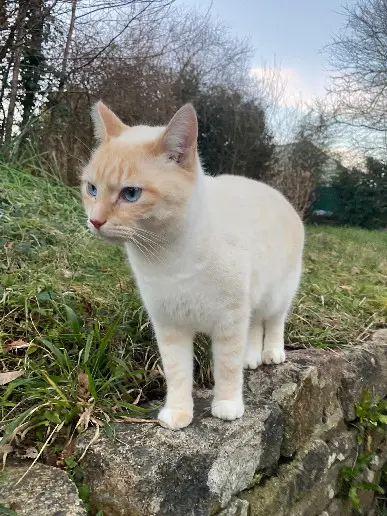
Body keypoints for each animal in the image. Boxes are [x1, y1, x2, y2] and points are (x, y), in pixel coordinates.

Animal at [82, 102, 306, 432]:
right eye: (92, 189)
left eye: (131, 194)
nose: (95, 221)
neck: (168, 257)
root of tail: (273, 191)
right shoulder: (169, 326)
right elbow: (177, 373)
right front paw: (178, 413)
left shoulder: (229, 321)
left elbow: (226, 368)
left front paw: (227, 405)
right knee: (254, 326)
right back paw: (251, 357)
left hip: (277, 293)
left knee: (274, 321)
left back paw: (271, 353)